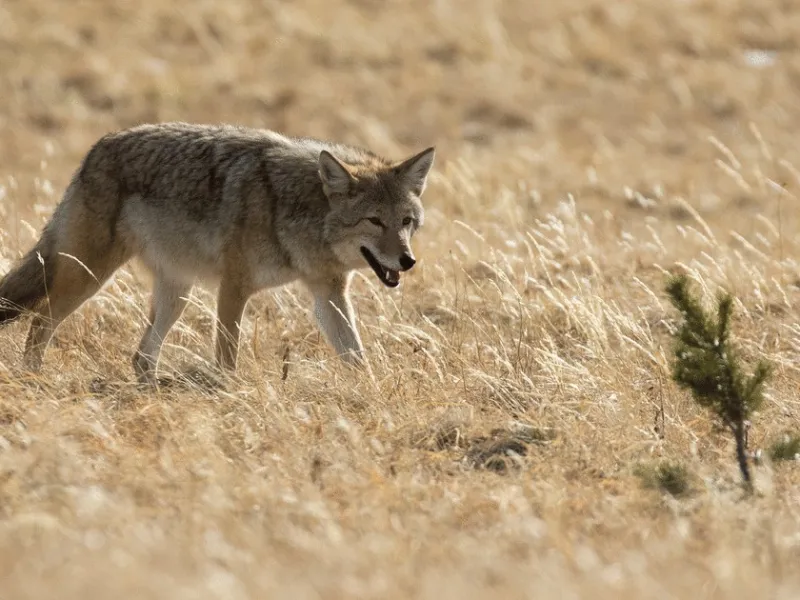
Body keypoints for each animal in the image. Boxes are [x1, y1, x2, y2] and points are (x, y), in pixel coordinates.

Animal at [0, 122, 435, 384]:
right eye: (374, 221)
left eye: (406, 222)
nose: (408, 262)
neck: (298, 211)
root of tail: (96, 149)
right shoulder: (234, 287)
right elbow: (228, 356)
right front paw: (230, 393)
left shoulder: (328, 292)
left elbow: (356, 355)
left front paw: (370, 393)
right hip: (90, 277)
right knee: (40, 322)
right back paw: (33, 379)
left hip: (176, 293)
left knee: (141, 357)